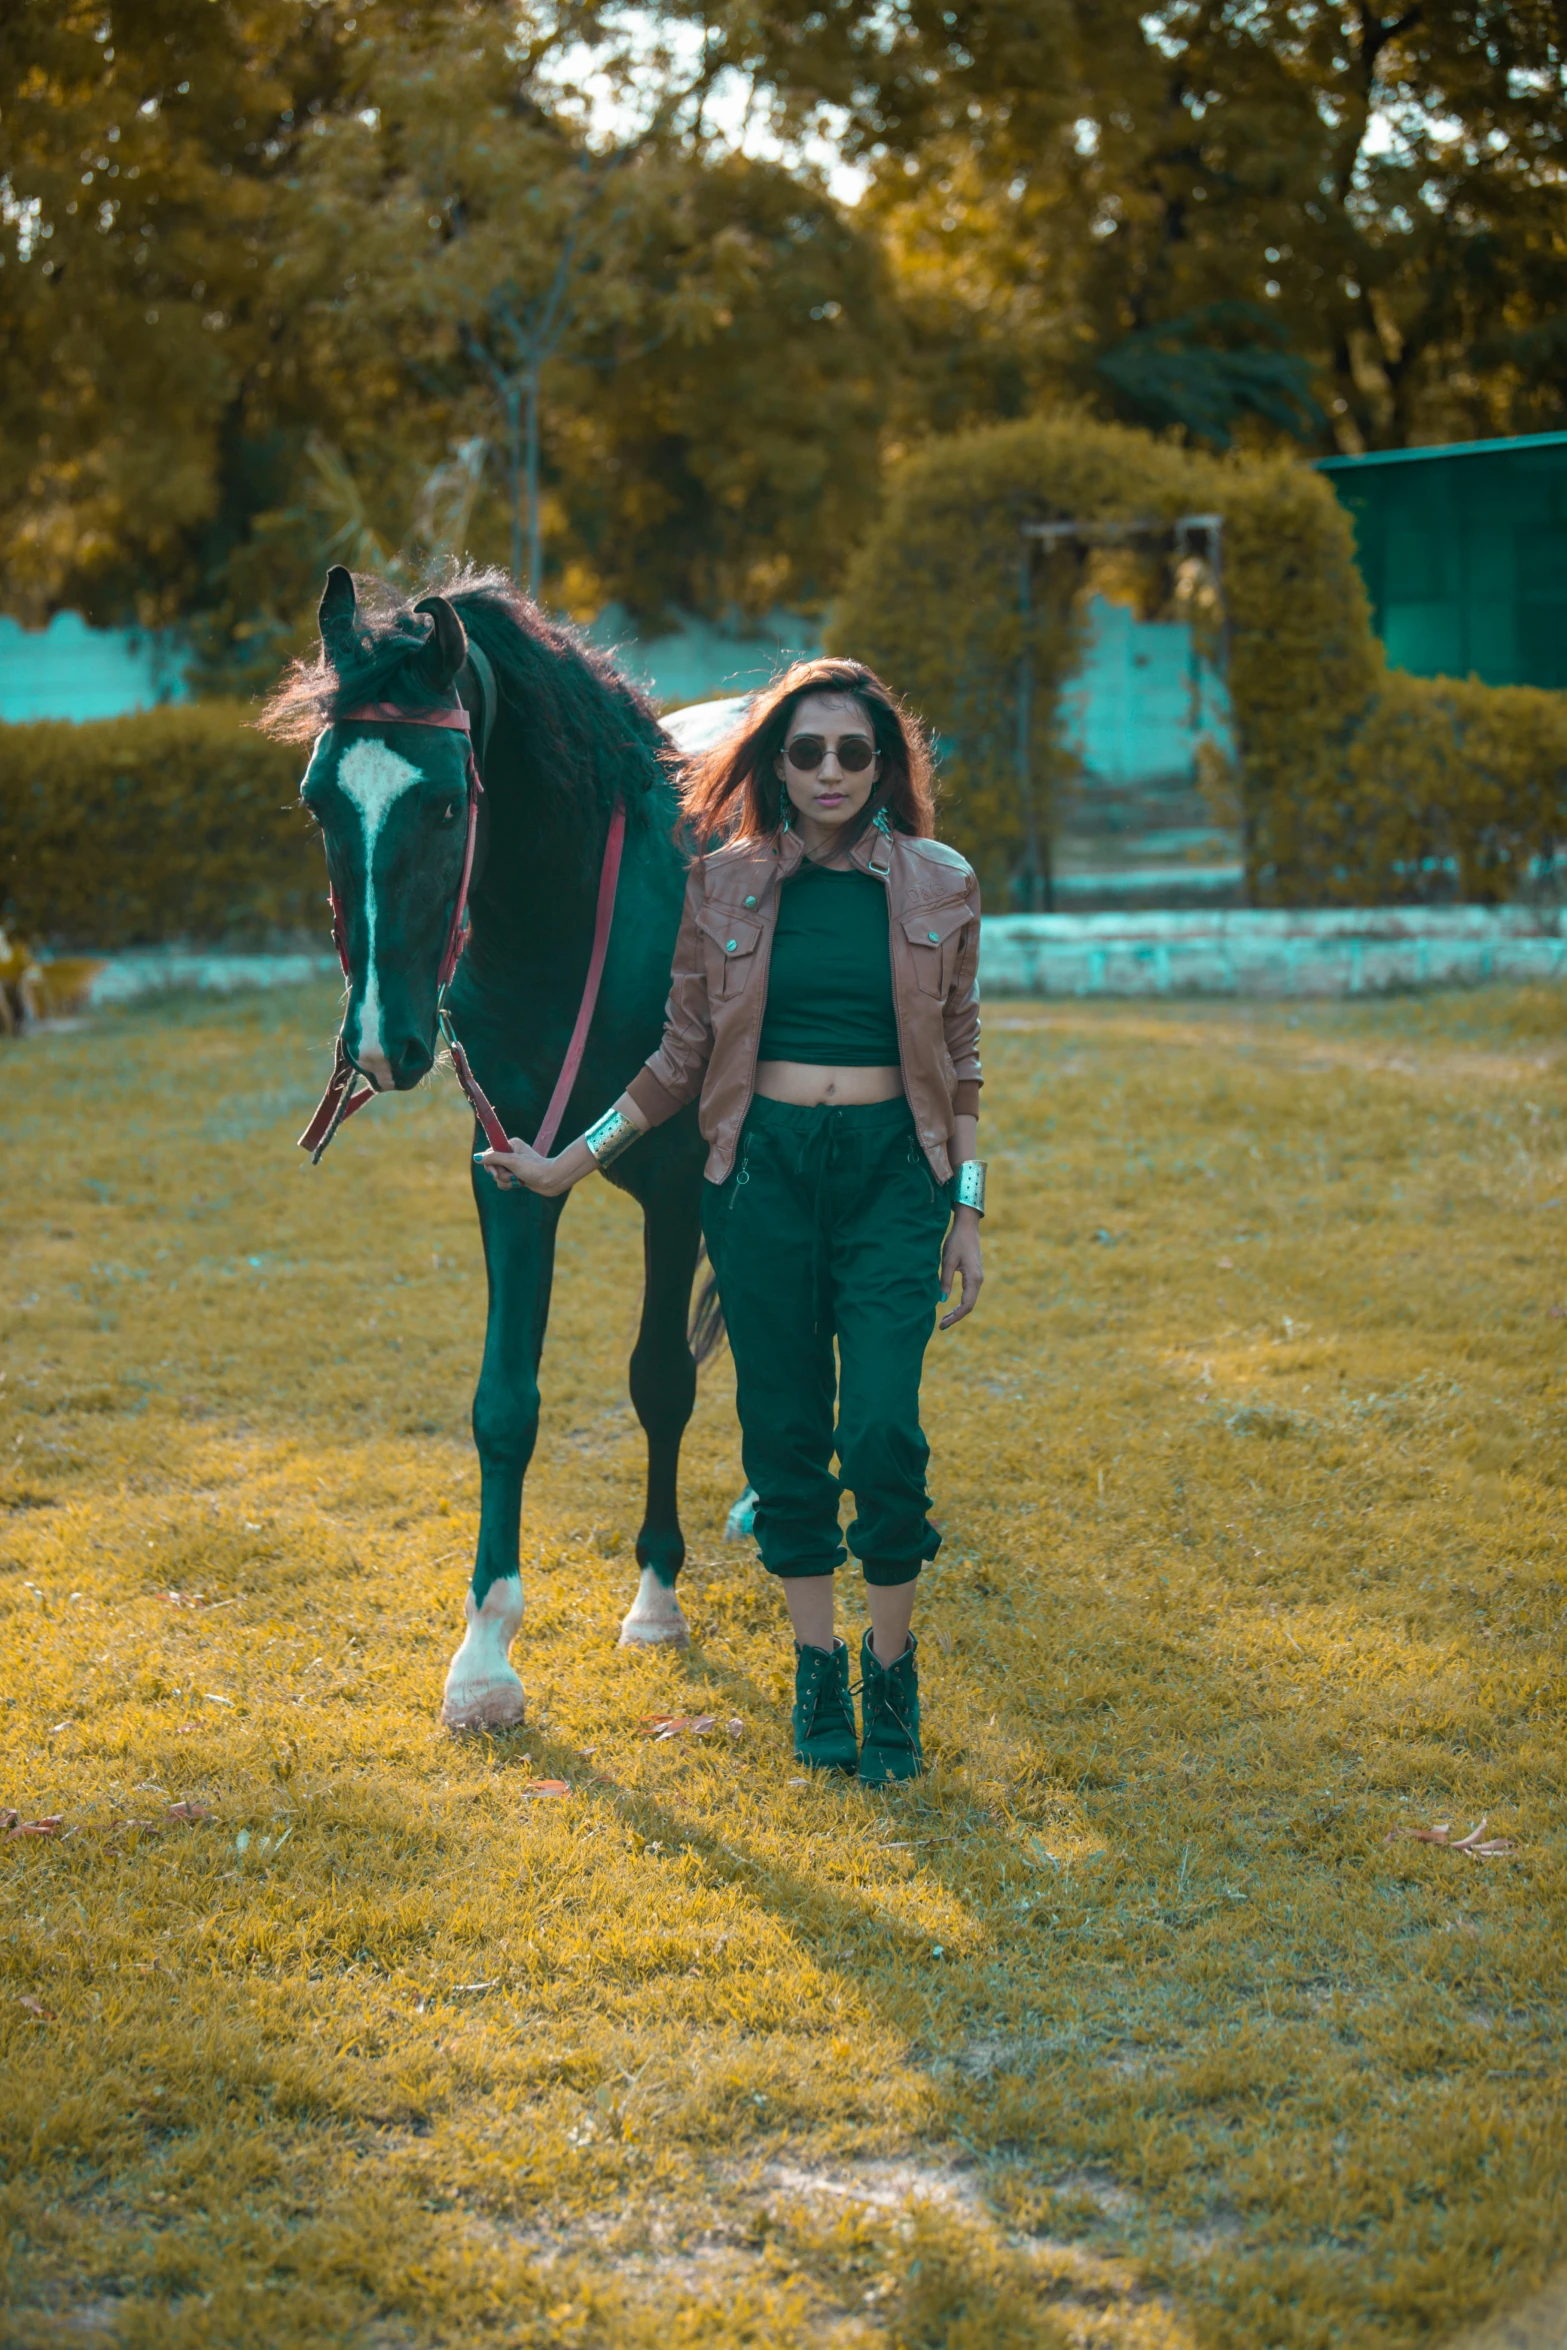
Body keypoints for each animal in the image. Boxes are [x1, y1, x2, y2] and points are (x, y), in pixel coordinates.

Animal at [266, 573, 732, 1729]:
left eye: (444, 804)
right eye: (317, 800)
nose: (380, 1042)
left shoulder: (676, 1181)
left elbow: (661, 1377)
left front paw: (656, 1598)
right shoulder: (510, 1171)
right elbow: (503, 1405)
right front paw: (482, 1656)